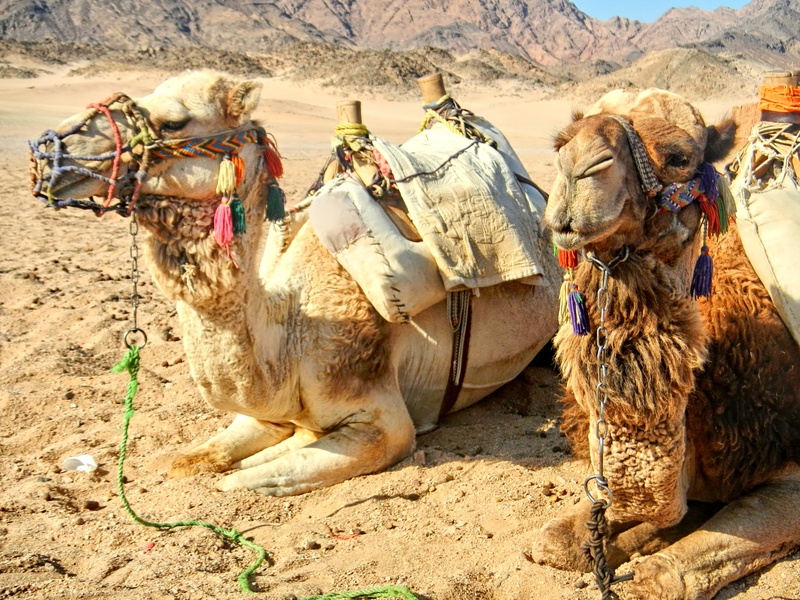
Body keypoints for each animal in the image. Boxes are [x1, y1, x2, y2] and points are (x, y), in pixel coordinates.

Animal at [28, 70, 560, 496]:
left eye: (174, 122)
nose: (49, 151)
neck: (291, 335)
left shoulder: (384, 422)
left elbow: (236, 481)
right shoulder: (261, 412)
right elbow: (192, 460)